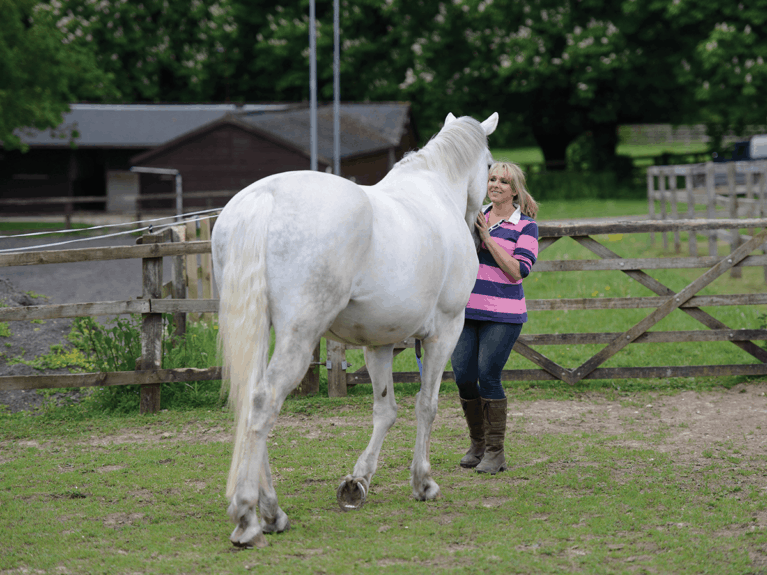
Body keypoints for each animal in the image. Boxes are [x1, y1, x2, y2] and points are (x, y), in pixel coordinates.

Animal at [210, 111, 500, 548]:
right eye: (489, 165)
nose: (479, 219)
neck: (434, 189)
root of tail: (265, 198)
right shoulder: (445, 333)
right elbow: (426, 406)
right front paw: (423, 483)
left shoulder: (377, 344)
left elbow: (386, 410)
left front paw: (358, 482)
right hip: (299, 336)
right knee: (263, 402)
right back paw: (252, 517)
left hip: (261, 331)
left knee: (249, 403)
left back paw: (270, 512)